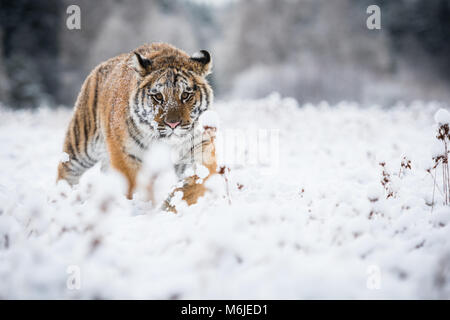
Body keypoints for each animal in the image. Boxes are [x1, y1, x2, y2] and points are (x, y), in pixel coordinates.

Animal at [56, 43, 218, 212]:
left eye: (186, 95)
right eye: (158, 96)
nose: (173, 124)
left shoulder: (200, 149)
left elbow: (195, 185)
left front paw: (170, 206)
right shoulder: (127, 156)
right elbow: (134, 189)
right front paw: (140, 209)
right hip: (80, 146)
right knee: (65, 172)